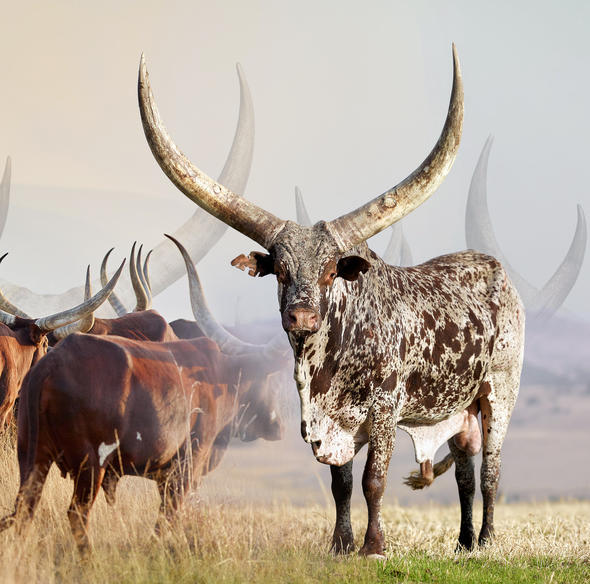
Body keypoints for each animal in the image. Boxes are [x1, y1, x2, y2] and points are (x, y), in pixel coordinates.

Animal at [0, 237, 290, 552]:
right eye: (268, 378)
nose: (278, 426)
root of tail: (50, 367)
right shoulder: (185, 467)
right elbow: (166, 519)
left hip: (33, 455)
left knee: (24, 509)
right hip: (90, 464)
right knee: (76, 514)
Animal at [140, 45, 528, 556]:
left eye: (329, 271)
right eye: (281, 270)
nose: (301, 315)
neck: (329, 364)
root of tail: (496, 270)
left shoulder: (384, 411)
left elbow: (373, 481)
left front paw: (373, 546)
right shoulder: (330, 425)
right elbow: (340, 485)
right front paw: (340, 545)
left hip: (499, 391)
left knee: (490, 471)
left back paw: (485, 541)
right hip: (457, 409)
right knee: (464, 469)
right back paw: (463, 543)